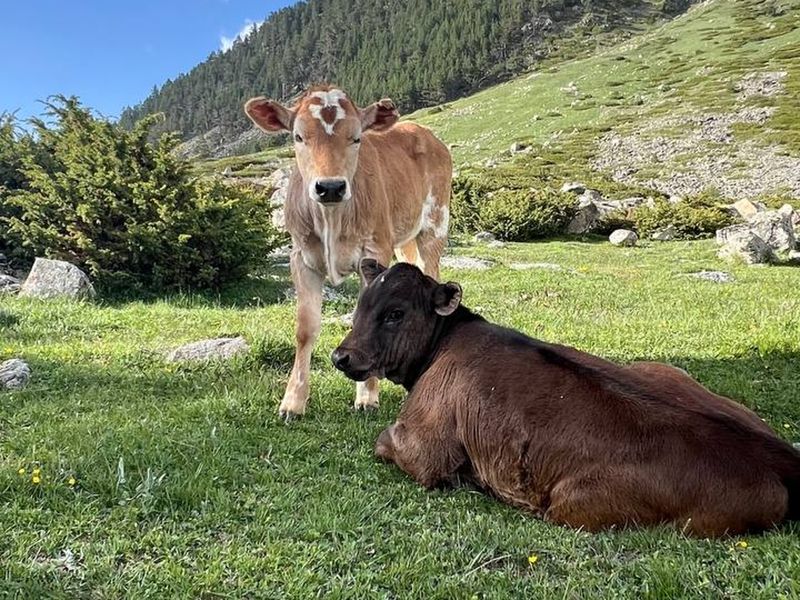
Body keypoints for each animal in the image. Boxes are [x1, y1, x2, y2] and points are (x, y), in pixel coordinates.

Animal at [244, 86, 452, 419]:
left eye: (356, 138)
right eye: (298, 136)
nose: (330, 187)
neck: (331, 221)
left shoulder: (375, 252)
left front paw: (367, 396)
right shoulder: (301, 258)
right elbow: (305, 329)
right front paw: (293, 402)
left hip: (434, 226)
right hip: (403, 239)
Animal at [331, 259, 800, 537]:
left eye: (395, 313)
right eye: (359, 305)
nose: (341, 355)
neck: (444, 342)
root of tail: (781, 456)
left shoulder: (427, 450)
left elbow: (384, 442)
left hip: (571, 502)